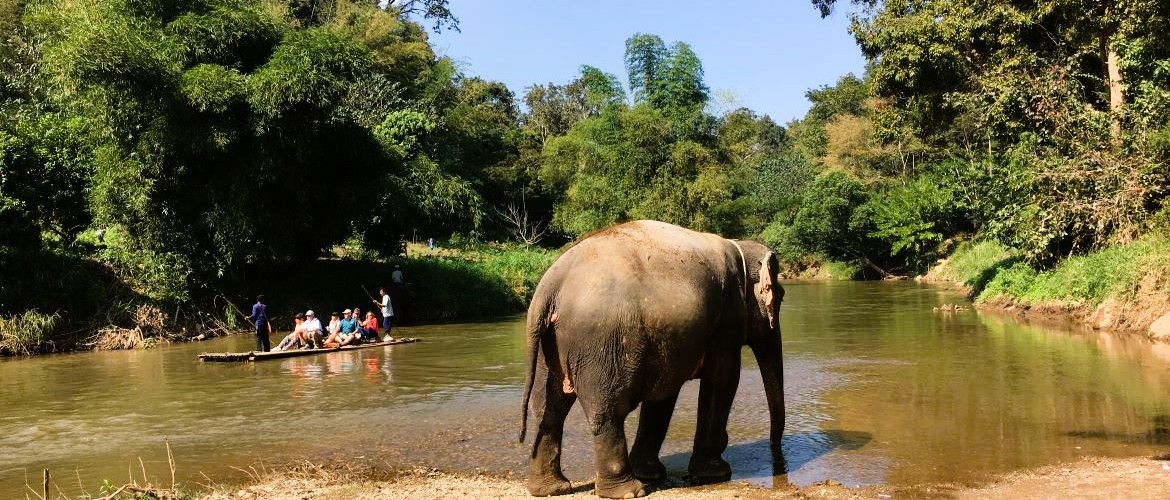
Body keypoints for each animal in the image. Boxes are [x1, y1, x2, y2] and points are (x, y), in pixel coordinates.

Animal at [519, 220, 785, 498]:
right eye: (780, 296)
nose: (776, 452)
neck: (739, 246)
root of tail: (550, 286)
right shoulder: (727, 319)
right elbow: (724, 379)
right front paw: (716, 473)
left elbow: (664, 394)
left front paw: (651, 473)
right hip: (603, 343)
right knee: (607, 411)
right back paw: (629, 491)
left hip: (551, 345)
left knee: (549, 408)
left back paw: (551, 488)